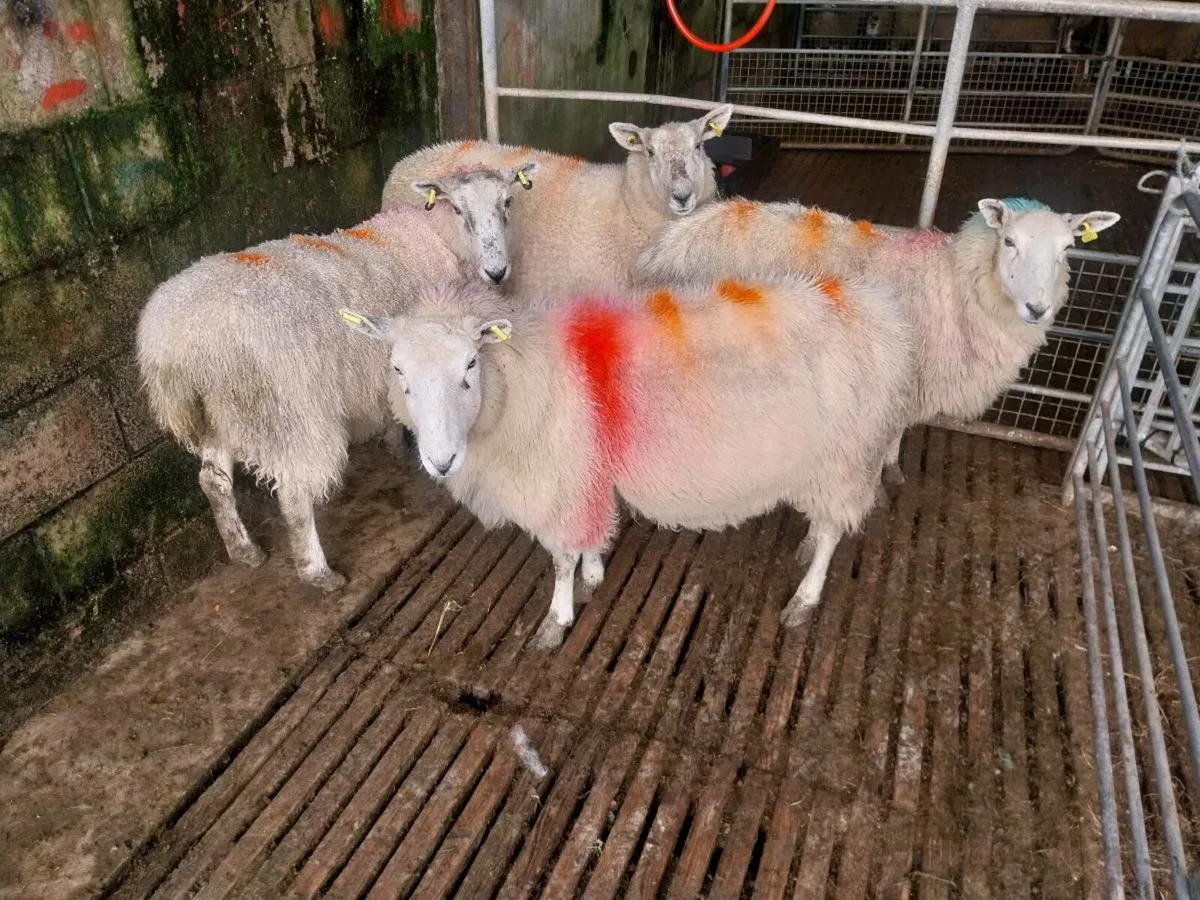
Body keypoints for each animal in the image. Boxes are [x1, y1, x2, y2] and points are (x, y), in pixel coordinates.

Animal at [137, 205, 473, 591]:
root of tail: (182, 342)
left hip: (219, 411)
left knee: (213, 481)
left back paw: (244, 550)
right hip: (291, 410)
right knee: (295, 493)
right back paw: (318, 572)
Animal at [341, 270, 915, 649]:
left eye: (470, 365)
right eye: (397, 369)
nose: (441, 461)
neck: (523, 377)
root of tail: (881, 312)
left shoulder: (562, 477)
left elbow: (561, 557)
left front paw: (557, 618)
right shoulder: (586, 472)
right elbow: (591, 535)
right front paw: (595, 571)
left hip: (848, 454)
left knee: (837, 529)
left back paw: (806, 596)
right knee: (826, 521)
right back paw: (807, 544)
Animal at [634, 196, 1121, 482]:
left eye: (1067, 249)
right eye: (1009, 241)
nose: (1037, 308)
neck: (953, 284)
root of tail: (671, 241)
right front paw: (890, 464)